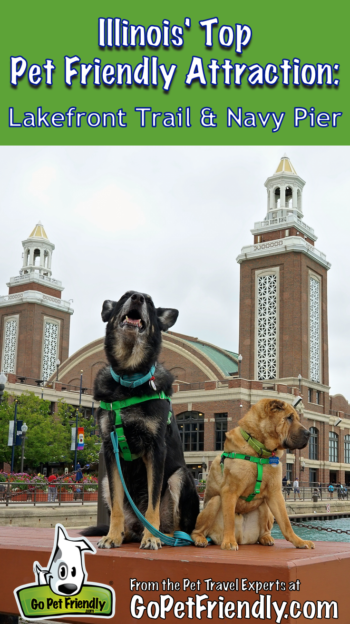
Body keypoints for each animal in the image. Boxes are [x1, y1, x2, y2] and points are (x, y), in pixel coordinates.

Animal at [81, 290, 197, 548]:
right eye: (125, 295)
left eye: (150, 302)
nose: (137, 297)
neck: (128, 379)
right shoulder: (110, 449)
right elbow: (116, 506)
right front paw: (112, 536)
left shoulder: (156, 449)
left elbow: (153, 502)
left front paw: (151, 538)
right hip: (104, 482)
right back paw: (125, 534)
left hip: (181, 476)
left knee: (179, 528)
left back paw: (165, 536)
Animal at [191, 400, 314, 552]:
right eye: (289, 418)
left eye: (297, 418)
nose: (309, 433)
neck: (259, 450)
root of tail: (241, 538)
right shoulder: (229, 491)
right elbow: (229, 519)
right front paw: (229, 542)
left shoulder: (275, 493)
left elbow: (286, 523)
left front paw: (299, 541)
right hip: (214, 502)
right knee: (197, 530)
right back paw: (201, 539)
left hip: (266, 507)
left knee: (264, 531)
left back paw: (266, 538)